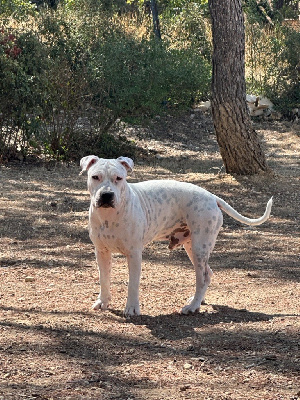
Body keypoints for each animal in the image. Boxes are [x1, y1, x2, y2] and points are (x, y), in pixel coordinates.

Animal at [81, 156, 274, 316]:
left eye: (119, 178)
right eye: (95, 177)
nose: (106, 195)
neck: (109, 217)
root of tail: (212, 197)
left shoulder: (134, 254)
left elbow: (133, 284)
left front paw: (132, 308)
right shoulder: (101, 252)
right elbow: (104, 279)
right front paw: (103, 302)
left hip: (199, 247)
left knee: (203, 277)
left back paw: (192, 307)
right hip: (193, 247)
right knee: (207, 273)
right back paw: (197, 300)